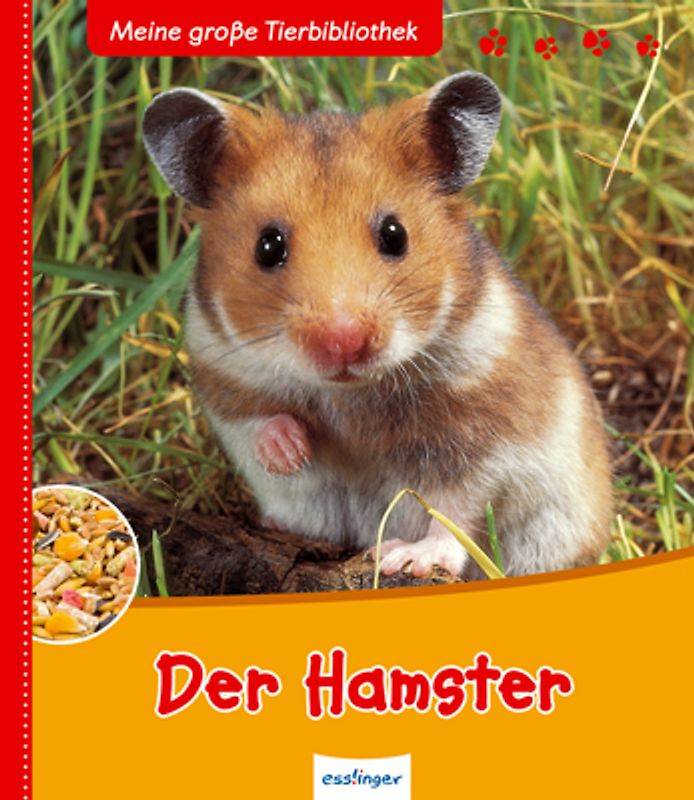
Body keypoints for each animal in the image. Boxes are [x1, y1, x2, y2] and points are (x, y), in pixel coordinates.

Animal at [142, 72, 612, 580]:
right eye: (268, 246)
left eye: (394, 234)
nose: (343, 342)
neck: (350, 395)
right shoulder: (222, 370)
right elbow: (260, 419)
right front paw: (290, 453)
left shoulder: (484, 435)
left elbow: (456, 511)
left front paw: (409, 557)